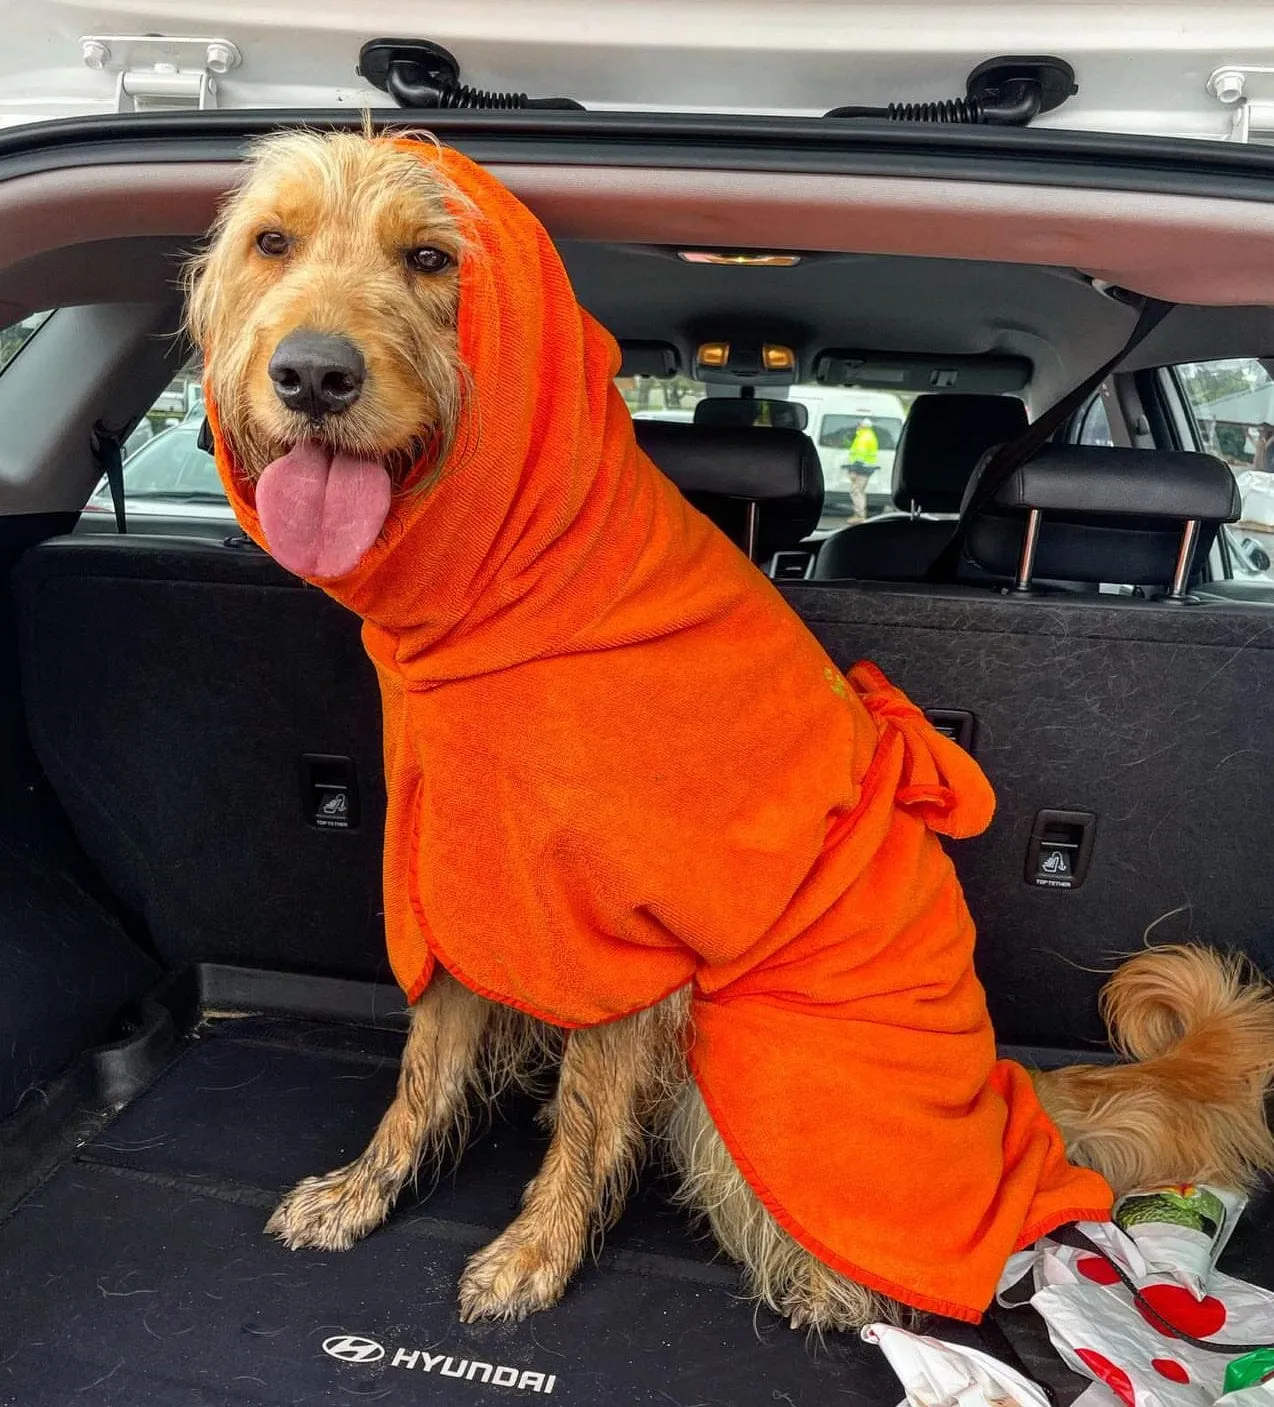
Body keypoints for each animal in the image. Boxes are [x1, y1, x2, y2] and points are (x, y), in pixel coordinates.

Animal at [185, 137, 1272, 1333]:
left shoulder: (624, 945)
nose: (312, 375)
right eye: (271, 241)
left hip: (756, 1064)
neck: (519, 595)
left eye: (429, 257)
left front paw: (535, 1252)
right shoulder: (457, 879)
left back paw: (826, 1282)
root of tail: (1005, 1105)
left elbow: (586, 1114)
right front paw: (364, 1193)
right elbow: (423, 1073)